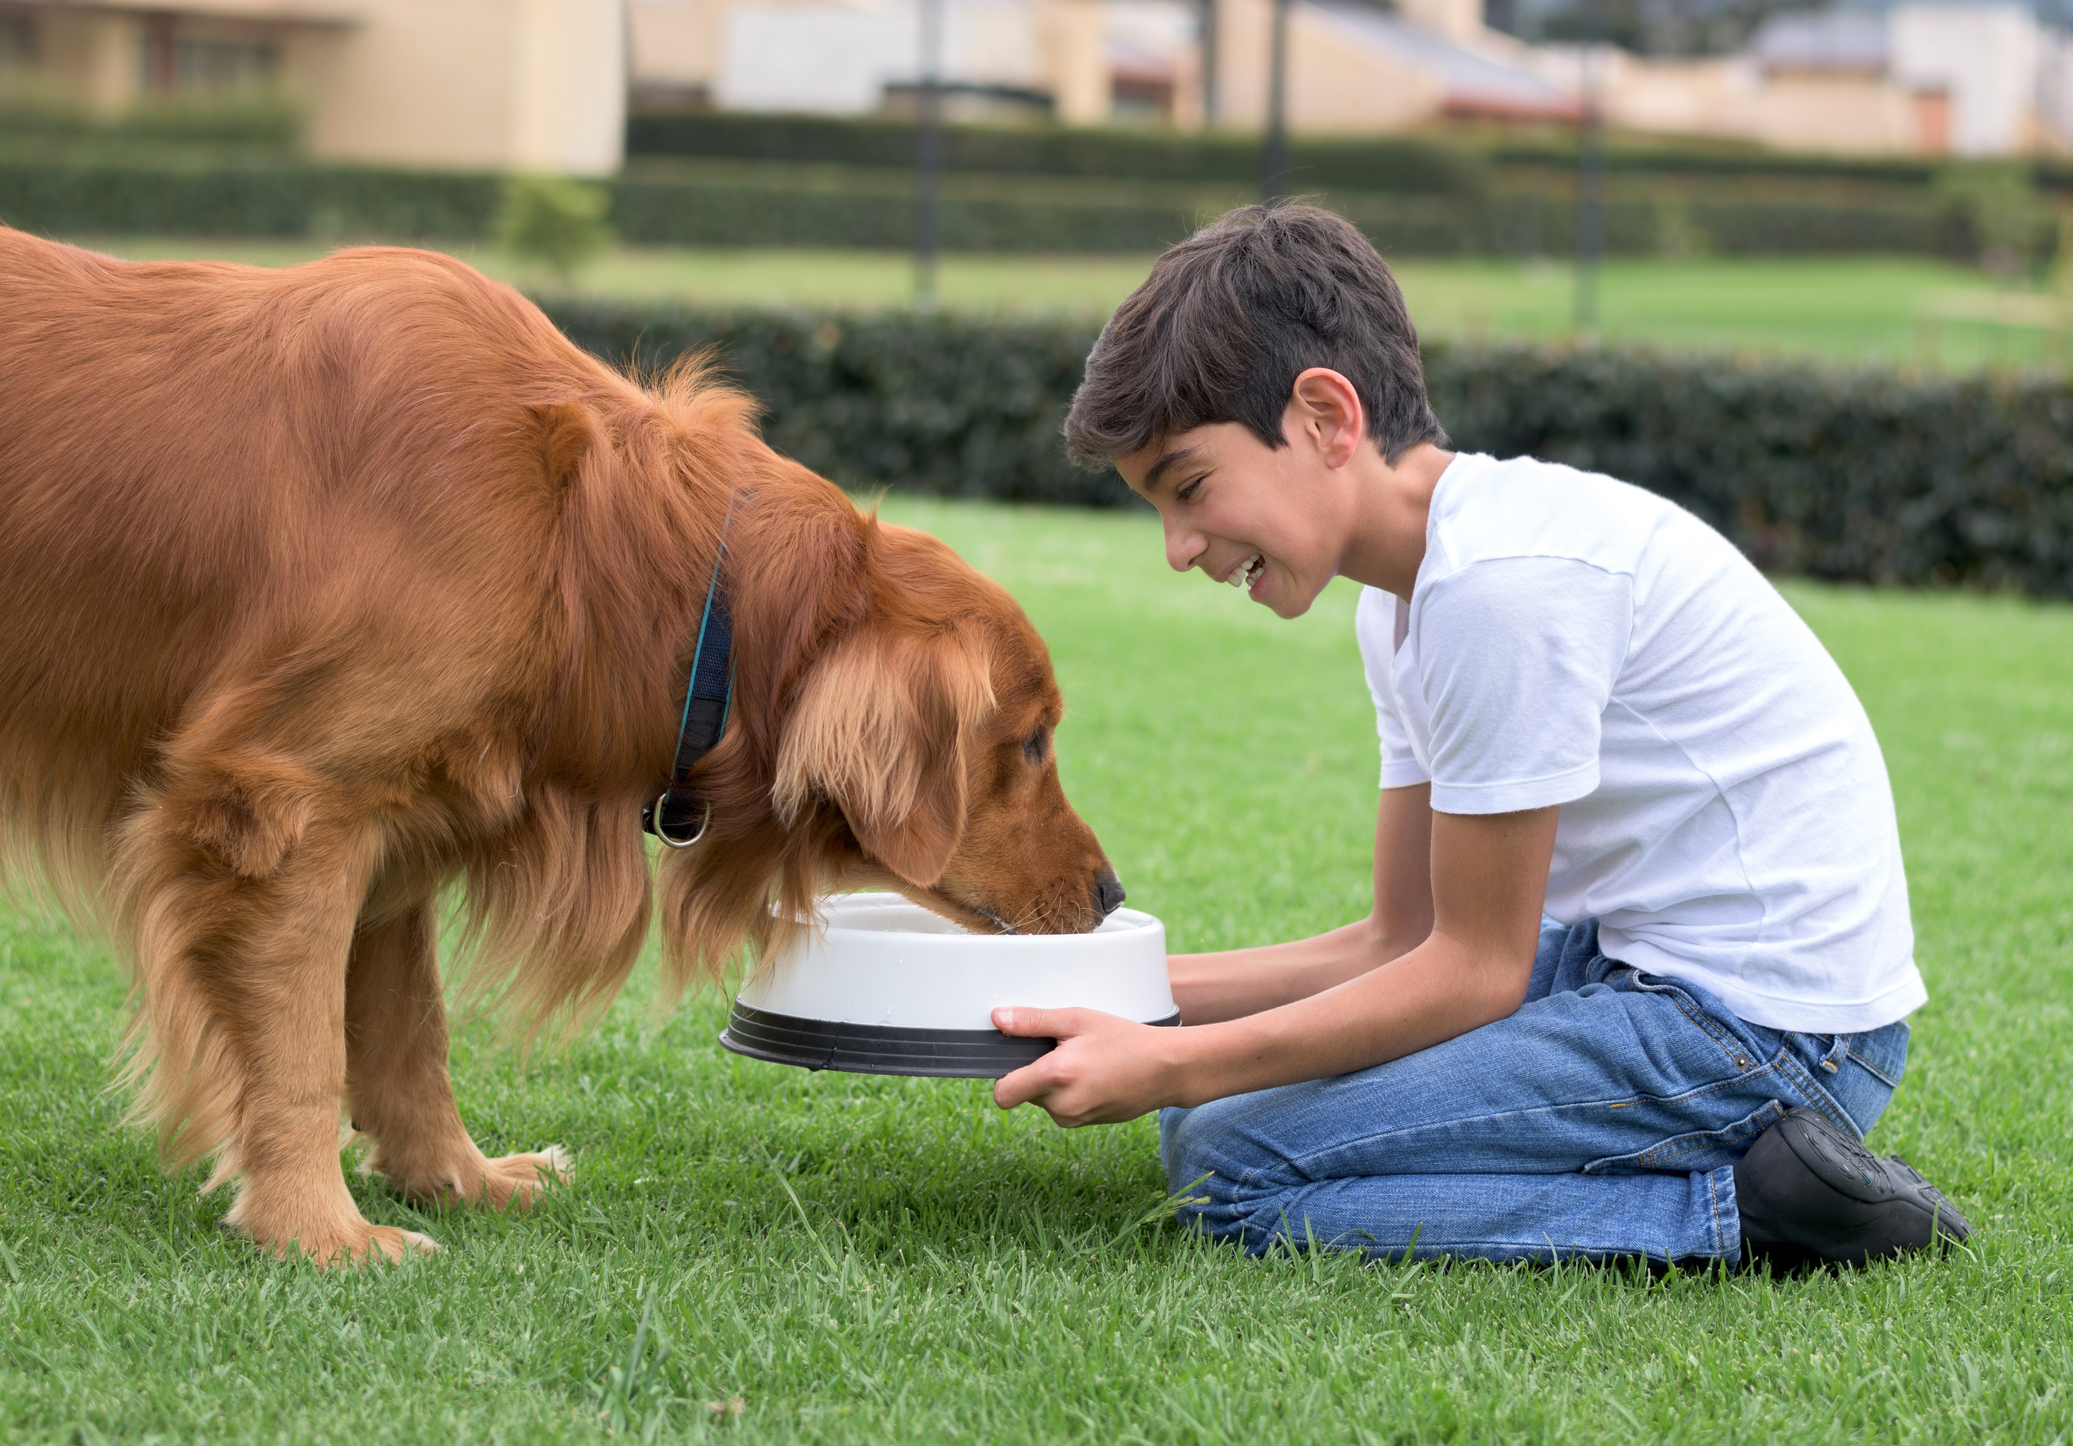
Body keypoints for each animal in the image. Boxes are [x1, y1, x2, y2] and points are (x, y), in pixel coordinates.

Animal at [0, 225, 1127, 1259]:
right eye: (1032, 741)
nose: (1113, 892)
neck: (594, 542)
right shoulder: (281, 807)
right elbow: (304, 1051)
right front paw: (317, 1231)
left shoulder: (387, 824)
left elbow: (411, 1033)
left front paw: (455, 1179)